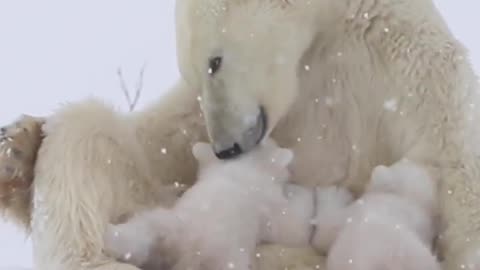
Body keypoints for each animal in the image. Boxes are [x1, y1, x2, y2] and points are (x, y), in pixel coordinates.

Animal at [103, 141, 316, 270]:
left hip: (164, 225)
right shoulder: (270, 205)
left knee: (140, 234)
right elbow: (286, 223)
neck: (239, 170)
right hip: (230, 259)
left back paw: (110, 236)